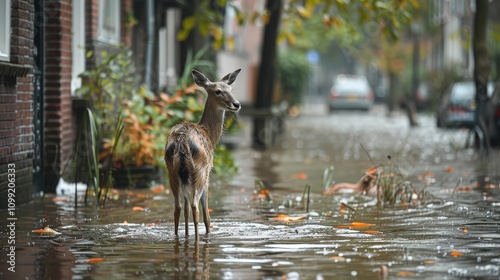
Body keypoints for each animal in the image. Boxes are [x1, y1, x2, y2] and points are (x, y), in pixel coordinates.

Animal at [165, 69, 241, 240]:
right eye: (218, 91)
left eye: (231, 89)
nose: (236, 104)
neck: (210, 135)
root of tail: (182, 141)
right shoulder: (208, 172)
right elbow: (207, 215)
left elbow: (185, 209)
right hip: (198, 170)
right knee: (196, 207)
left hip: (172, 171)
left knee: (178, 207)